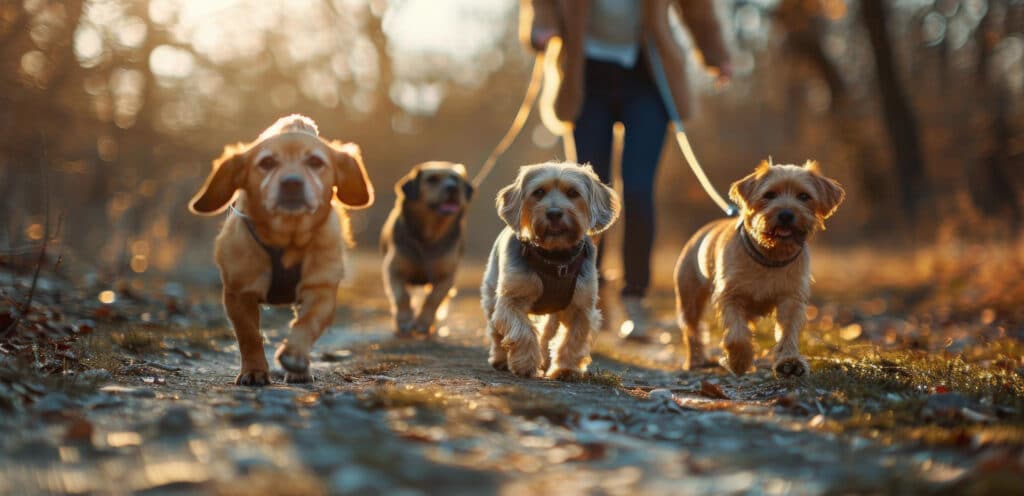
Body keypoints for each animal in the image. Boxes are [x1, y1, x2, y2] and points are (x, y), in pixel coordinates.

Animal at [188, 114, 372, 385]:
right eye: (267, 162)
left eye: (316, 162)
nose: (292, 183)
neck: (288, 239)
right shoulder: (238, 294)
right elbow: (249, 335)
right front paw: (254, 371)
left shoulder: (321, 291)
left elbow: (306, 323)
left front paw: (294, 357)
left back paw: (300, 370)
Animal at [382, 160, 473, 336]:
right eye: (432, 179)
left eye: (456, 179)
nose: (453, 188)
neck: (428, 237)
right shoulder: (394, 269)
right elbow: (401, 295)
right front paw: (404, 320)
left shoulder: (446, 276)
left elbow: (433, 299)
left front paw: (424, 323)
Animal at [477, 160, 614, 377]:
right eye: (539, 192)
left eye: (573, 193)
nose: (554, 213)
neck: (555, 257)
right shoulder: (511, 299)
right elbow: (522, 330)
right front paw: (525, 364)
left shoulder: (582, 306)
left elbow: (574, 338)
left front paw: (565, 369)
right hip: (491, 293)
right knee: (495, 330)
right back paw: (500, 359)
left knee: (547, 332)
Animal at [671, 160, 839, 377]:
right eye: (769, 194)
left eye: (804, 196)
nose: (786, 214)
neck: (770, 255)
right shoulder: (730, 296)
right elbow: (736, 333)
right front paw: (739, 361)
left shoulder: (791, 298)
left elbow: (787, 332)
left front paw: (790, 362)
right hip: (689, 299)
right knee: (692, 330)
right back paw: (696, 360)